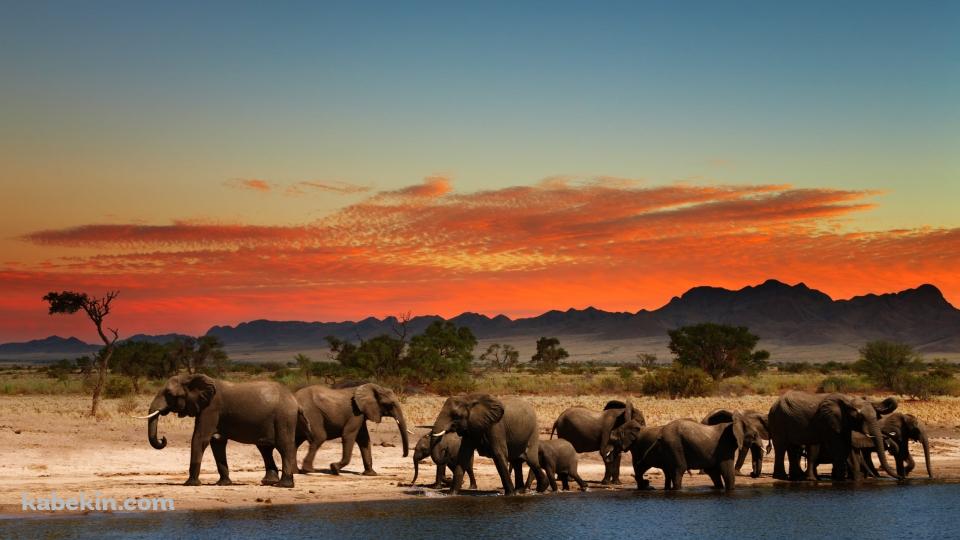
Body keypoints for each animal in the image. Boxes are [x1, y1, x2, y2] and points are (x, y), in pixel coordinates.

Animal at [141, 374, 311, 488]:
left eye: (169, 394)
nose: (163, 439)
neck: (191, 377)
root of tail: (295, 401)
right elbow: (217, 442)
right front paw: (223, 483)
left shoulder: (211, 408)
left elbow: (200, 438)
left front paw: (190, 484)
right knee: (265, 448)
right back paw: (268, 482)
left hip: (284, 417)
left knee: (284, 446)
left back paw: (284, 485)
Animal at [768, 391, 900, 481]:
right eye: (860, 417)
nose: (901, 478)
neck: (848, 400)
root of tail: (773, 405)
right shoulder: (830, 421)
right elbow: (840, 446)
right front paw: (841, 479)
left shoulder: (843, 423)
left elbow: (847, 445)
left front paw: (853, 479)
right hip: (778, 420)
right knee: (781, 447)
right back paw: (781, 477)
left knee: (792, 448)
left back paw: (796, 478)